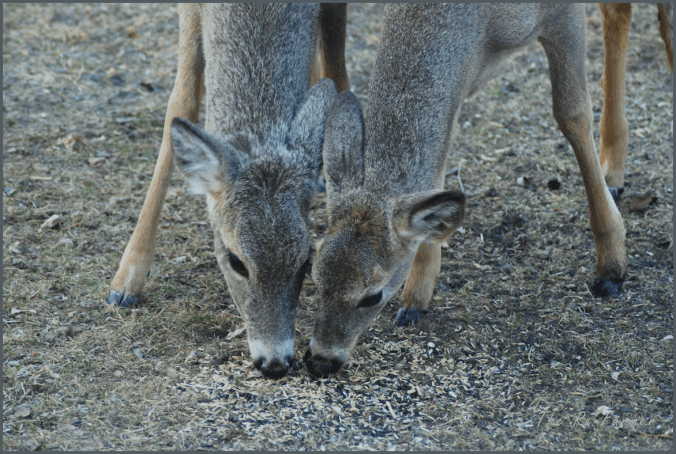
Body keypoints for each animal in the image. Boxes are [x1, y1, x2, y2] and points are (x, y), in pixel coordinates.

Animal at [107, 4, 349, 379]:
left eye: (305, 262)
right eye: (236, 261)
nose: (275, 363)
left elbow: (339, 78)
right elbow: (181, 103)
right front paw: (127, 280)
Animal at [305, 3, 629, 377]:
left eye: (373, 295)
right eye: (314, 273)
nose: (320, 360)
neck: (486, 35)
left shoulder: (564, 14)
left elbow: (572, 112)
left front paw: (611, 265)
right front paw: (417, 294)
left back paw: (614, 176)